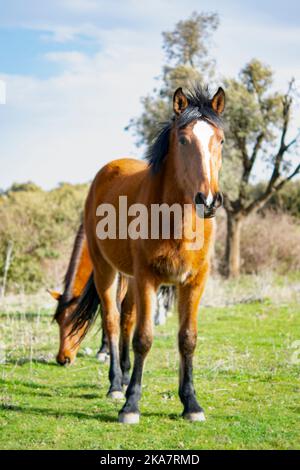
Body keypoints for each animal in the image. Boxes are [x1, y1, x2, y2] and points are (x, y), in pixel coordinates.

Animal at [70, 85, 225, 426]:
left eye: (220, 140)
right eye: (183, 140)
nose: (207, 200)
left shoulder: (194, 282)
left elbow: (187, 338)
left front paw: (191, 403)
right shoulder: (147, 279)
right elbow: (143, 338)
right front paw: (130, 406)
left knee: (125, 319)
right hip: (107, 271)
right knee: (114, 322)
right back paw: (117, 385)